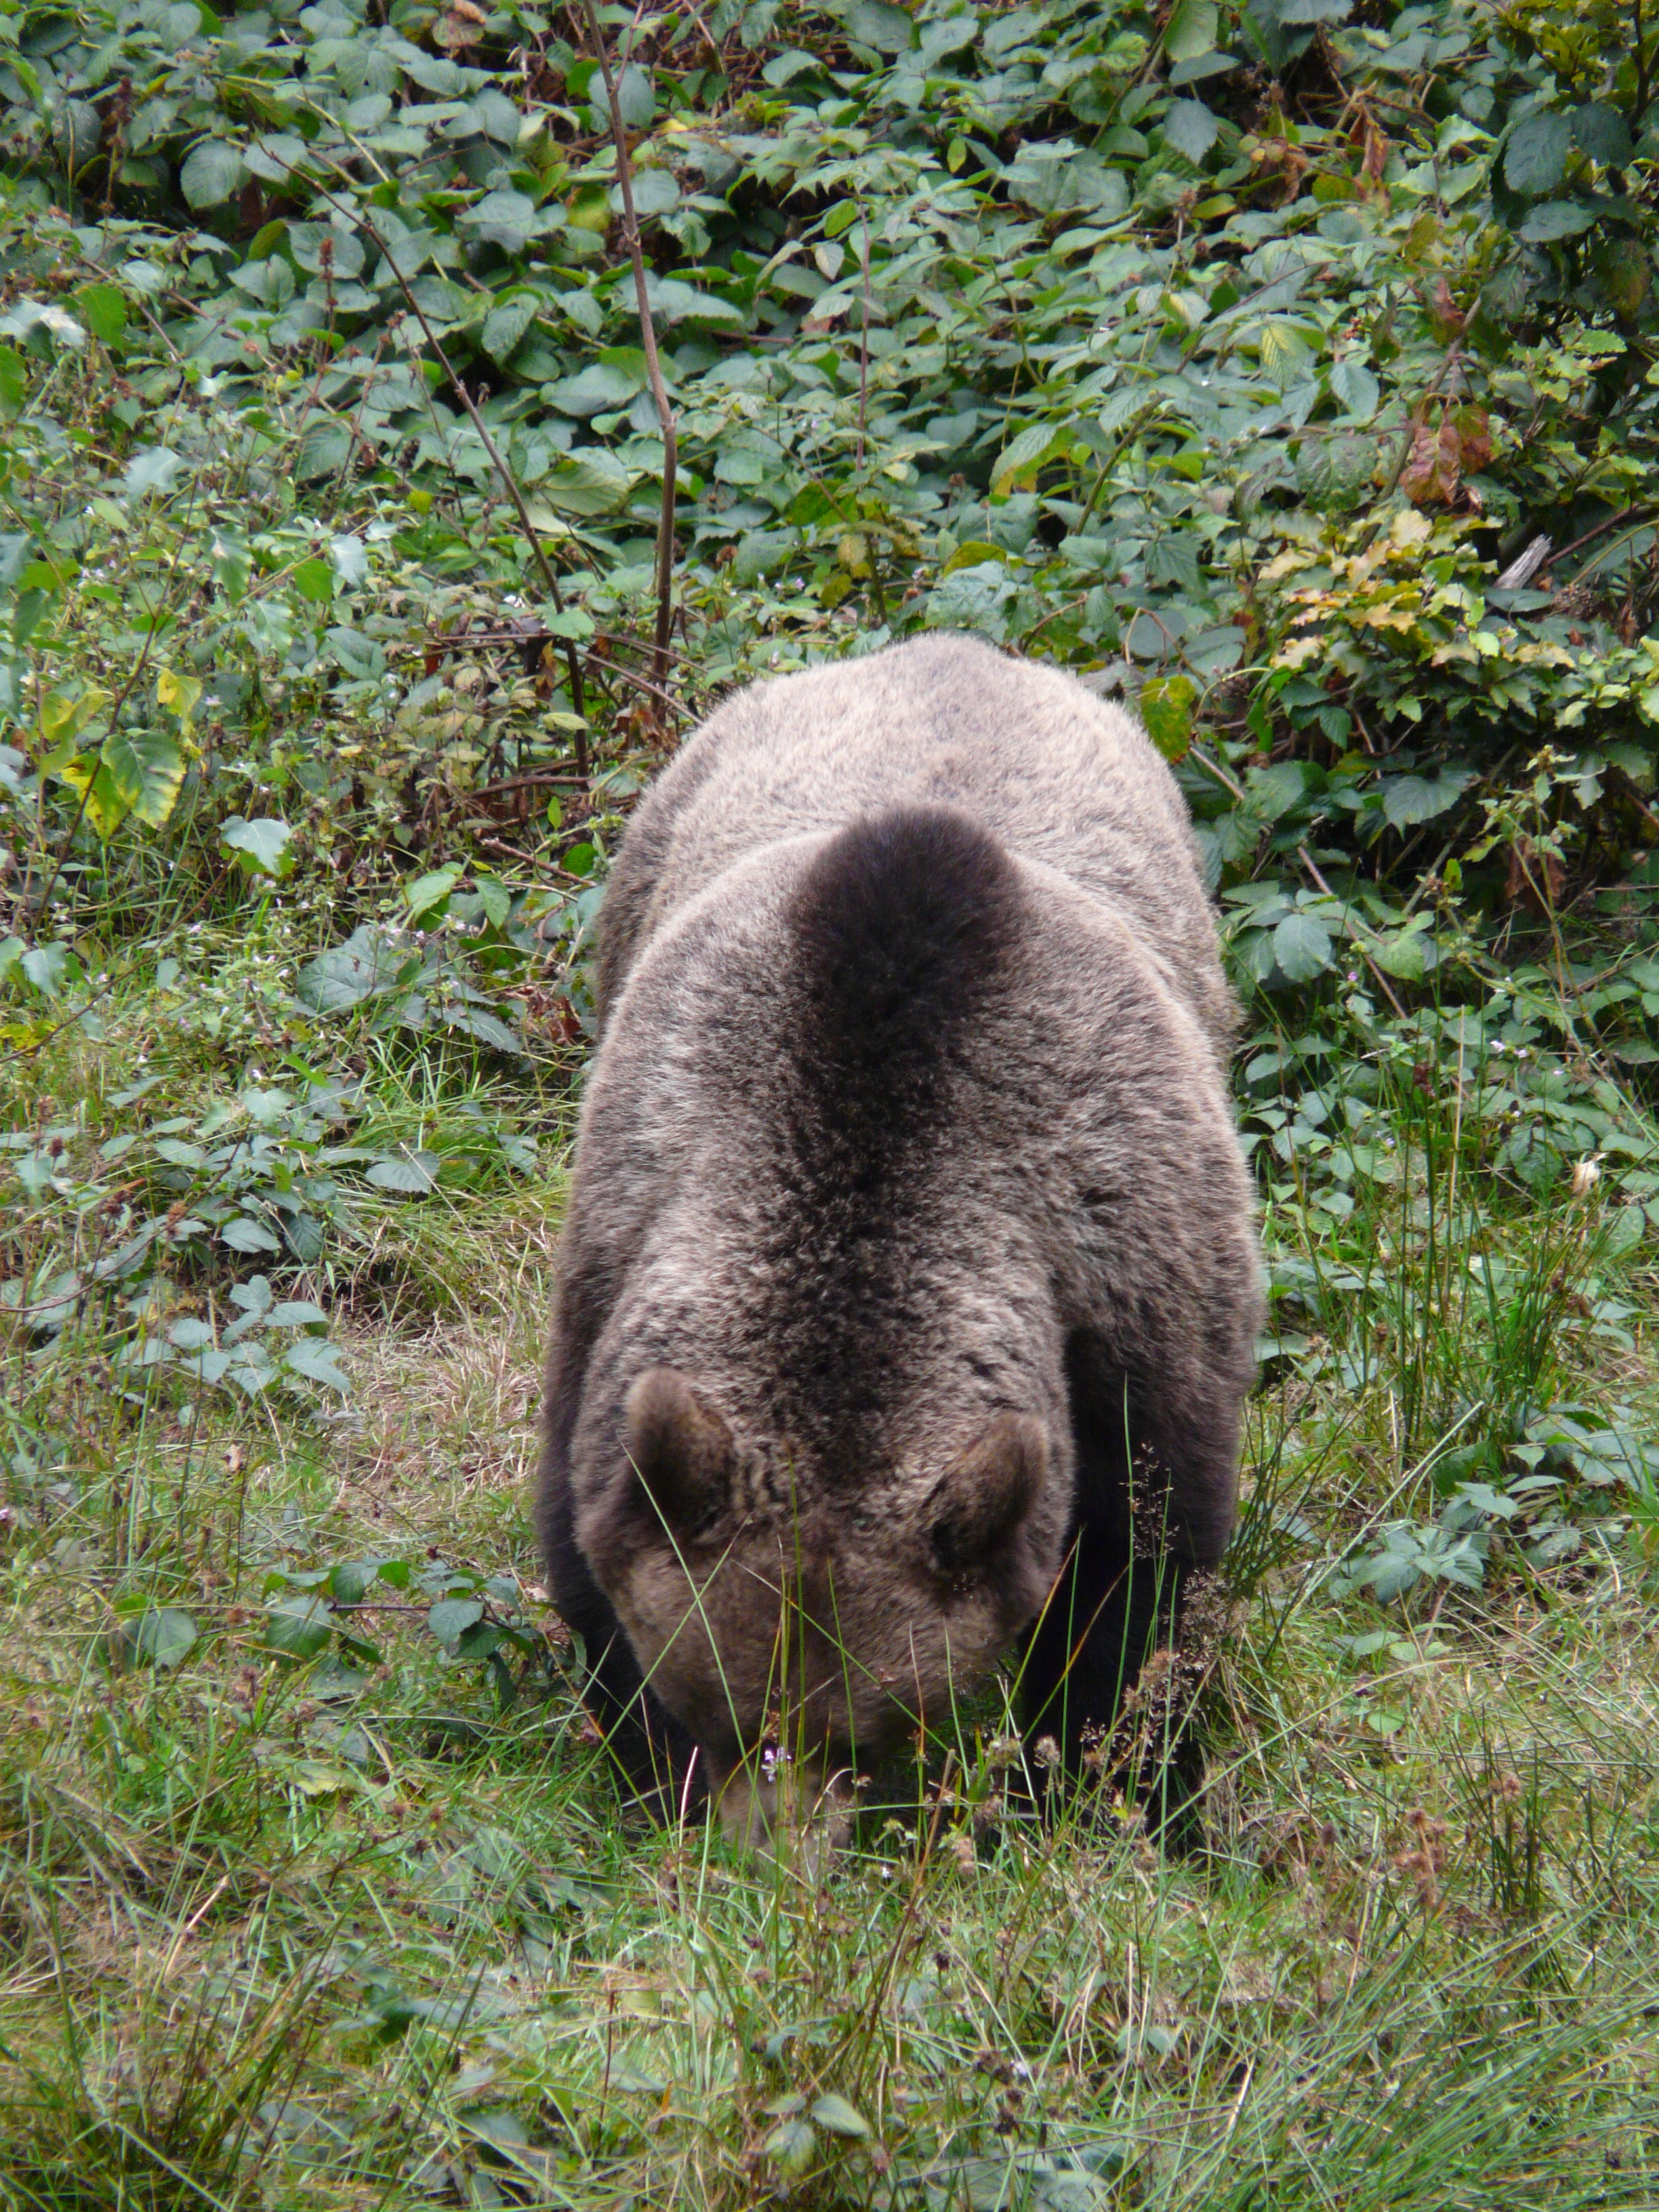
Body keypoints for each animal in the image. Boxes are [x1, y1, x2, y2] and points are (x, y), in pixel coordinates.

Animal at [539, 632, 1265, 1840]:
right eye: (719, 1708)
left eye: (868, 1733)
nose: (774, 1862)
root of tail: (954, 648)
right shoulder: (628, 1220)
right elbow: (586, 1522)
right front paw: (644, 1760)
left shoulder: (1130, 1271)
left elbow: (1144, 1582)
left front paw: (1115, 1780)